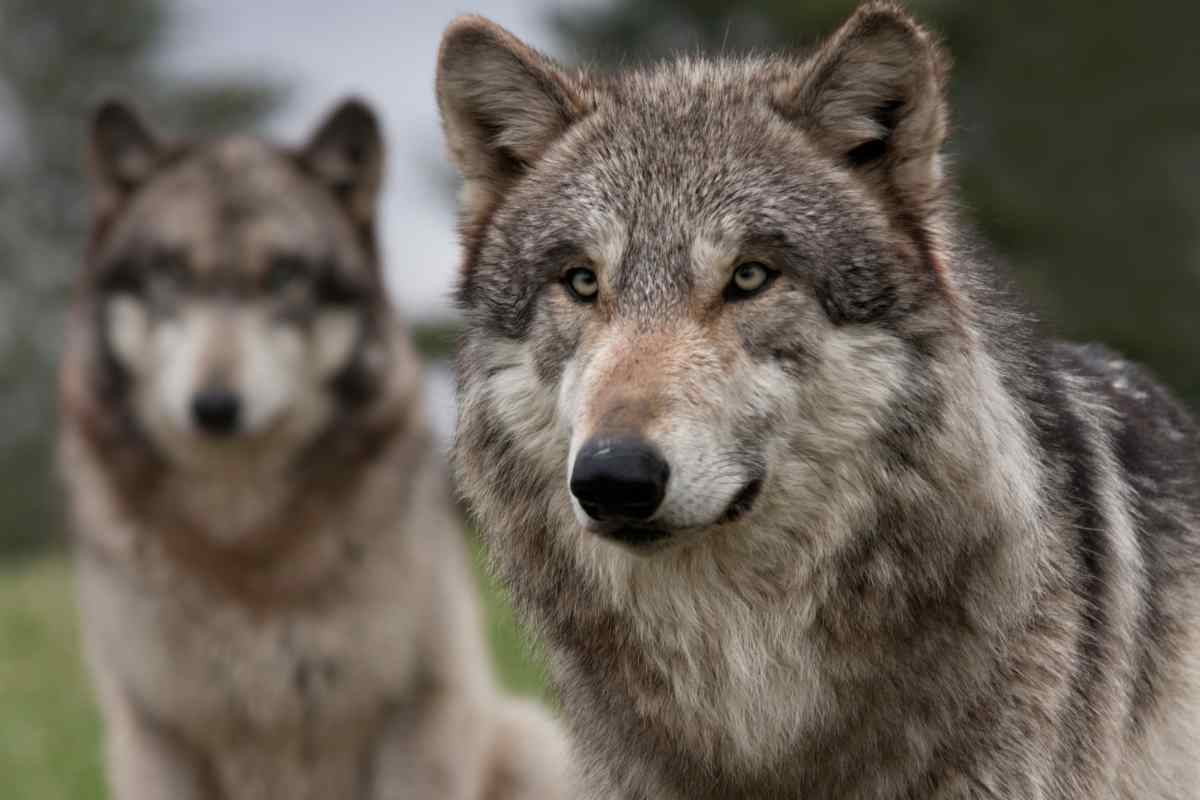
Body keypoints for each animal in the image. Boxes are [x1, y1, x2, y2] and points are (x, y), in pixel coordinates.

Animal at [62, 98, 571, 800]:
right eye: (171, 272)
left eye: (283, 275)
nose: (214, 407)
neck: (246, 541)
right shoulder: (156, 735)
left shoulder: (416, 711)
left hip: (529, 739)